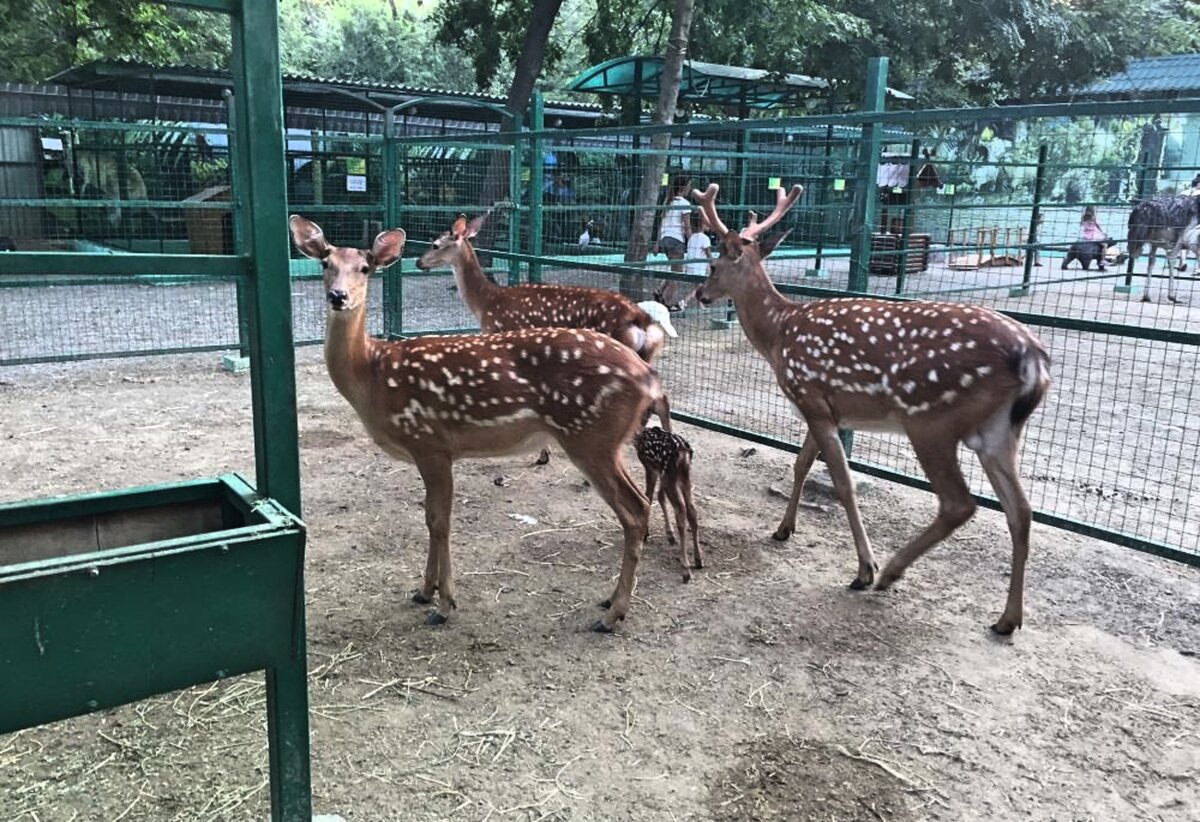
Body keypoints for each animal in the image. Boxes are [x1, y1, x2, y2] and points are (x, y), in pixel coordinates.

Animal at [295, 214, 662, 633]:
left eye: (365, 268)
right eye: (325, 263)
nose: (338, 296)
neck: (372, 374)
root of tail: (648, 375)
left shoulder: (431, 443)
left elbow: (439, 521)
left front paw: (444, 604)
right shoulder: (432, 451)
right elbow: (428, 517)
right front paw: (424, 591)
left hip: (590, 437)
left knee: (634, 509)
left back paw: (613, 614)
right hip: (606, 441)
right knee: (641, 501)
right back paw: (610, 602)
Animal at [633, 427, 700, 580]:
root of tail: (683, 451)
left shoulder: (649, 466)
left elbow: (648, 497)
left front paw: (645, 533)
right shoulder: (659, 471)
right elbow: (659, 496)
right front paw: (669, 535)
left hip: (670, 474)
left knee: (680, 510)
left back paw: (685, 569)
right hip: (684, 476)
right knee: (692, 510)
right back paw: (698, 560)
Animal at [696, 182, 1051, 633]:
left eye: (712, 264)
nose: (700, 295)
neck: (779, 334)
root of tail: (1033, 358)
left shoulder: (809, 395)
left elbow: (843, 482)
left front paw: (864, 567)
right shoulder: (822, 406)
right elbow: (800, 464)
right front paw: (783, 529)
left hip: (931, 419)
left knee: (960, 503)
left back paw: (889, 573)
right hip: (998, 431)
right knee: (1020, 510)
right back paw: (1008, 618)